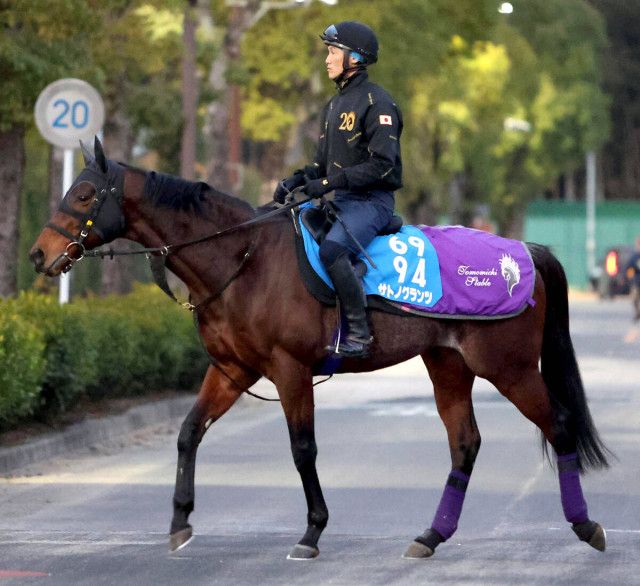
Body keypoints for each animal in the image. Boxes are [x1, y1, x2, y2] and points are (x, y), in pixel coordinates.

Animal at [30, 137, 609, 559]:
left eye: (85, 194)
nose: (38, 254)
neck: (243, 257)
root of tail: (525, 250)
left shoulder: (290, 370)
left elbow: (302, 448)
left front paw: (312, 532)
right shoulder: (232, 369)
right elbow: (189, 433)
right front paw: (179, 520)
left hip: (509, 368)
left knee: (558, 424)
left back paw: (586, 526)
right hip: (449, 365)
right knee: (465, 443)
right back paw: (430, 536)